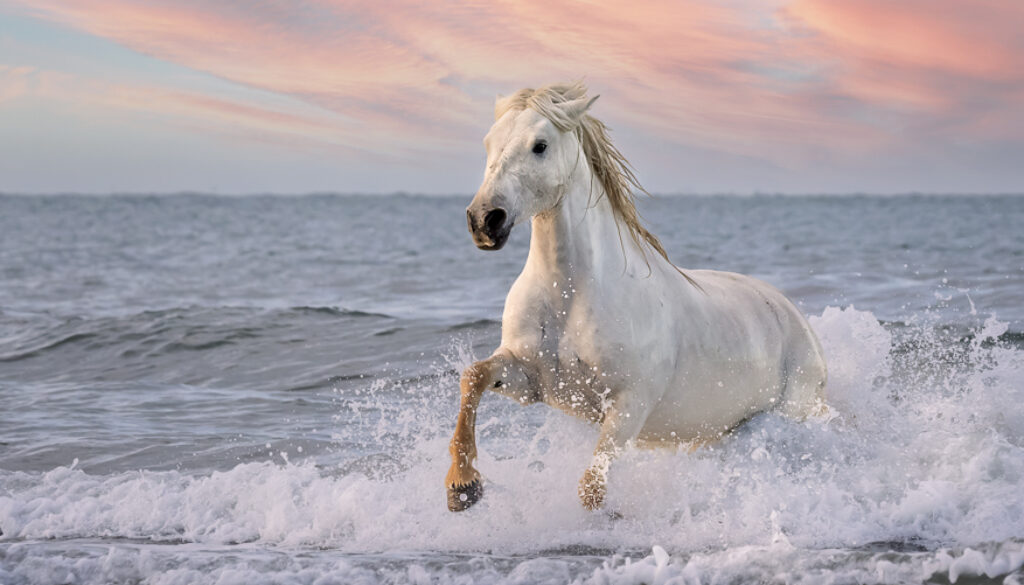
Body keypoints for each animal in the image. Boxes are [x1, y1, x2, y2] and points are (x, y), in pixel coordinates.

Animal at [446, 82, 827, 512]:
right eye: (488, 143)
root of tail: (800, 322)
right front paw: (462, 486)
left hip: (791, 411)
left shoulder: (629, 405)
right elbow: (474, 376)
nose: (484, 221)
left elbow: (591, 490)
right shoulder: (530, 381)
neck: (572, 293)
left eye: (539, 146)